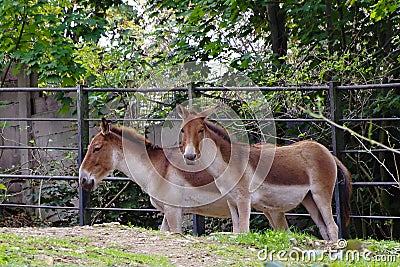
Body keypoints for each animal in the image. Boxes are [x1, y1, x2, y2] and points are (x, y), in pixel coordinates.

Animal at [177, 104, 352, 241]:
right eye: (182, 130)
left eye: (201, 130)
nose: (189, 156)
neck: (228, 164)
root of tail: (328, 153)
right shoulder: (231, 201)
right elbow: (236, 231)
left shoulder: (244, 200)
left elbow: (243, 231)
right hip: (309, 199)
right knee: (324, 229)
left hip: (321, 194)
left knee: (333, 227)